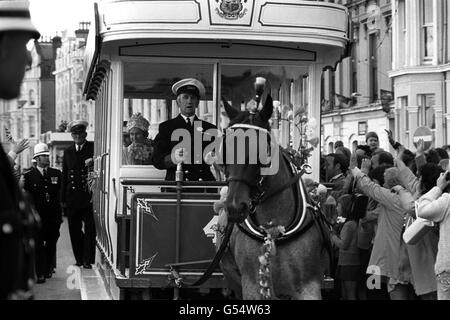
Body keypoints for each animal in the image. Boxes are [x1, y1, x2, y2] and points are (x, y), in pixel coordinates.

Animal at [218, 93, 330, 300]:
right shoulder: (252, 285)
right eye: (225, 150)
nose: (235, 207)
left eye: (263, 149)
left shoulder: (309, 286)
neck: (273, 229)